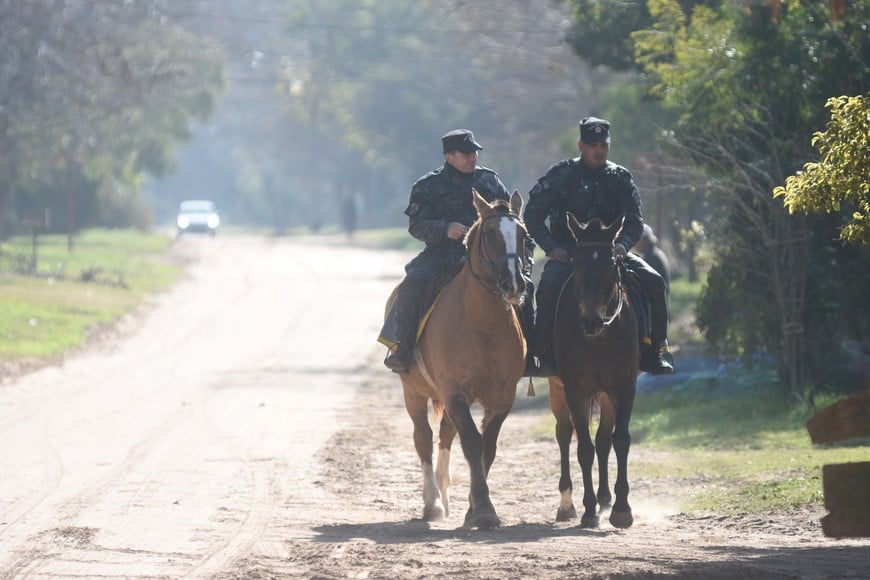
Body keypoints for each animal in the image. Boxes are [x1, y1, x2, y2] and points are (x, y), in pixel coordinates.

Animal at [390, 190, 532, 532]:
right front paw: (482, 510)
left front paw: (473, 507)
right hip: (412, 392)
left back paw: (444, 493)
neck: (482, 325)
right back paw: (432, 503)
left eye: (523, 235)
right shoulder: (454, 392)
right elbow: (472, 442)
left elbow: (487, 447)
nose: (514, 284)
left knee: (444, 435)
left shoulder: (502, 396)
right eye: (490, 234)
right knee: (424, 438)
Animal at [552, 214, 640, 532]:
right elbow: (584, 448)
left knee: (604, 439)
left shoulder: (625, 387)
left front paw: (622, 509)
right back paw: (567, 504)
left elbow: (619, 440)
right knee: (564, 434)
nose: (590, 321)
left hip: (606, 394)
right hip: (558, 390)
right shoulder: (575, 391)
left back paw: (605, 499)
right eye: (576, 264)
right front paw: (588, 510)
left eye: (611, 264)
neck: (600, 338)